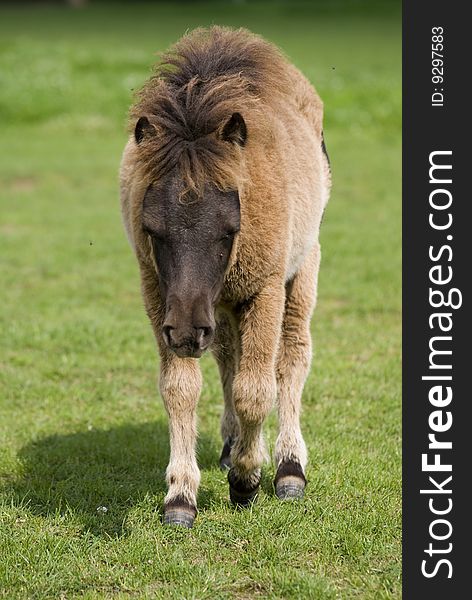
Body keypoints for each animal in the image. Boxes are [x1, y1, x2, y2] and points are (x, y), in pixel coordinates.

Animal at [120, 25, 330, 528]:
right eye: (152, 229)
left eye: (229, 228)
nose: (184, 333)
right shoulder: (161, 295)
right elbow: (180, 388)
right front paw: (180, 496)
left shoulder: (263, 288)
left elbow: (256, 389)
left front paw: (246, 480)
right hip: (215, 307)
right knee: (227, 358)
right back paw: (232, 444)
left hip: (300, 271)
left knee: (291, 356)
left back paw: (288, 467)